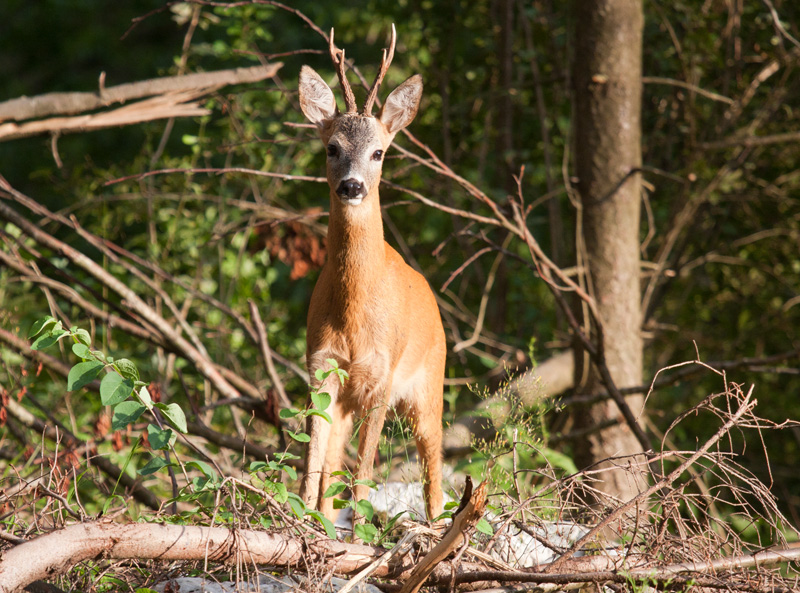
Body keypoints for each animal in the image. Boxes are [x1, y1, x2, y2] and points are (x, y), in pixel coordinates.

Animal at [296, 25, 446, 524]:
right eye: (332, 148)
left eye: (379, 152)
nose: (352, 185)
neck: (354, 316)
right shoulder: (320, 367)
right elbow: (313, 464)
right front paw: (298, 526)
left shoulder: (383, 375)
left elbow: (364, 471)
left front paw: (360, 533)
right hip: (348, 399)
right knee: (331, 465)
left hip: (430, 381)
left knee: (434, 470)